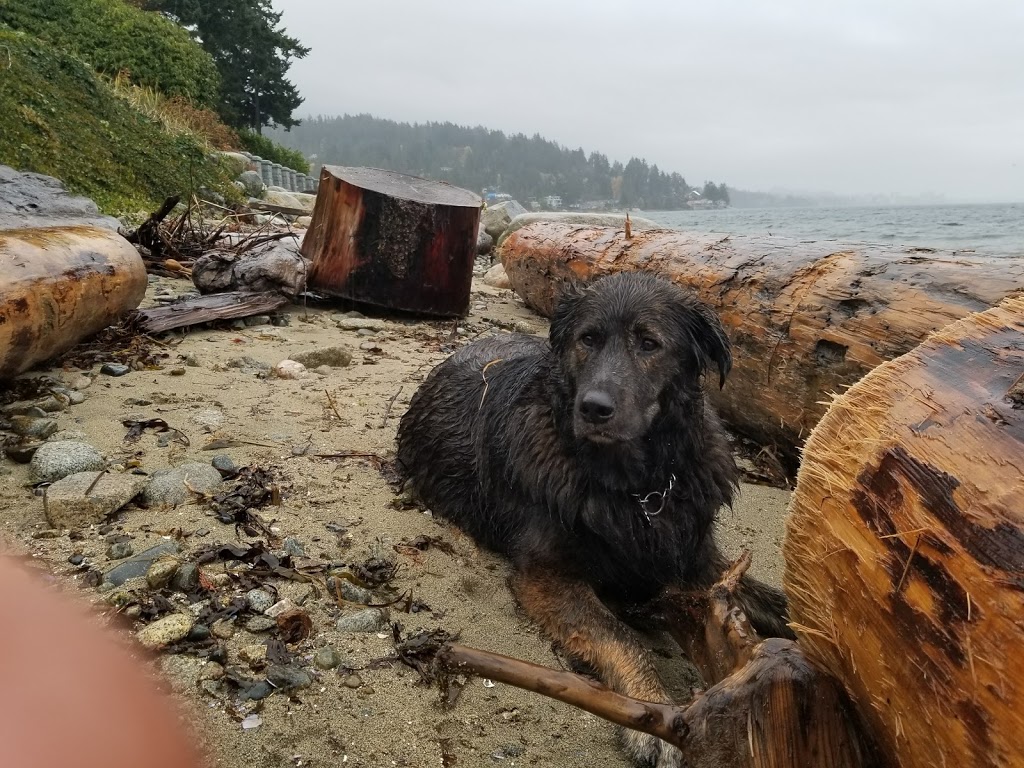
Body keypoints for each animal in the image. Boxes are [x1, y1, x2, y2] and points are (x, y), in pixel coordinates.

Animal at [395, 274, 786, 765]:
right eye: (588, 340)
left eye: (649, 343)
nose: (594, 408)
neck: (638, 490)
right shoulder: (548, 576)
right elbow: (622, 637)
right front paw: (653, 712)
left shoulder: (700, 560)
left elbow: (778, 602)